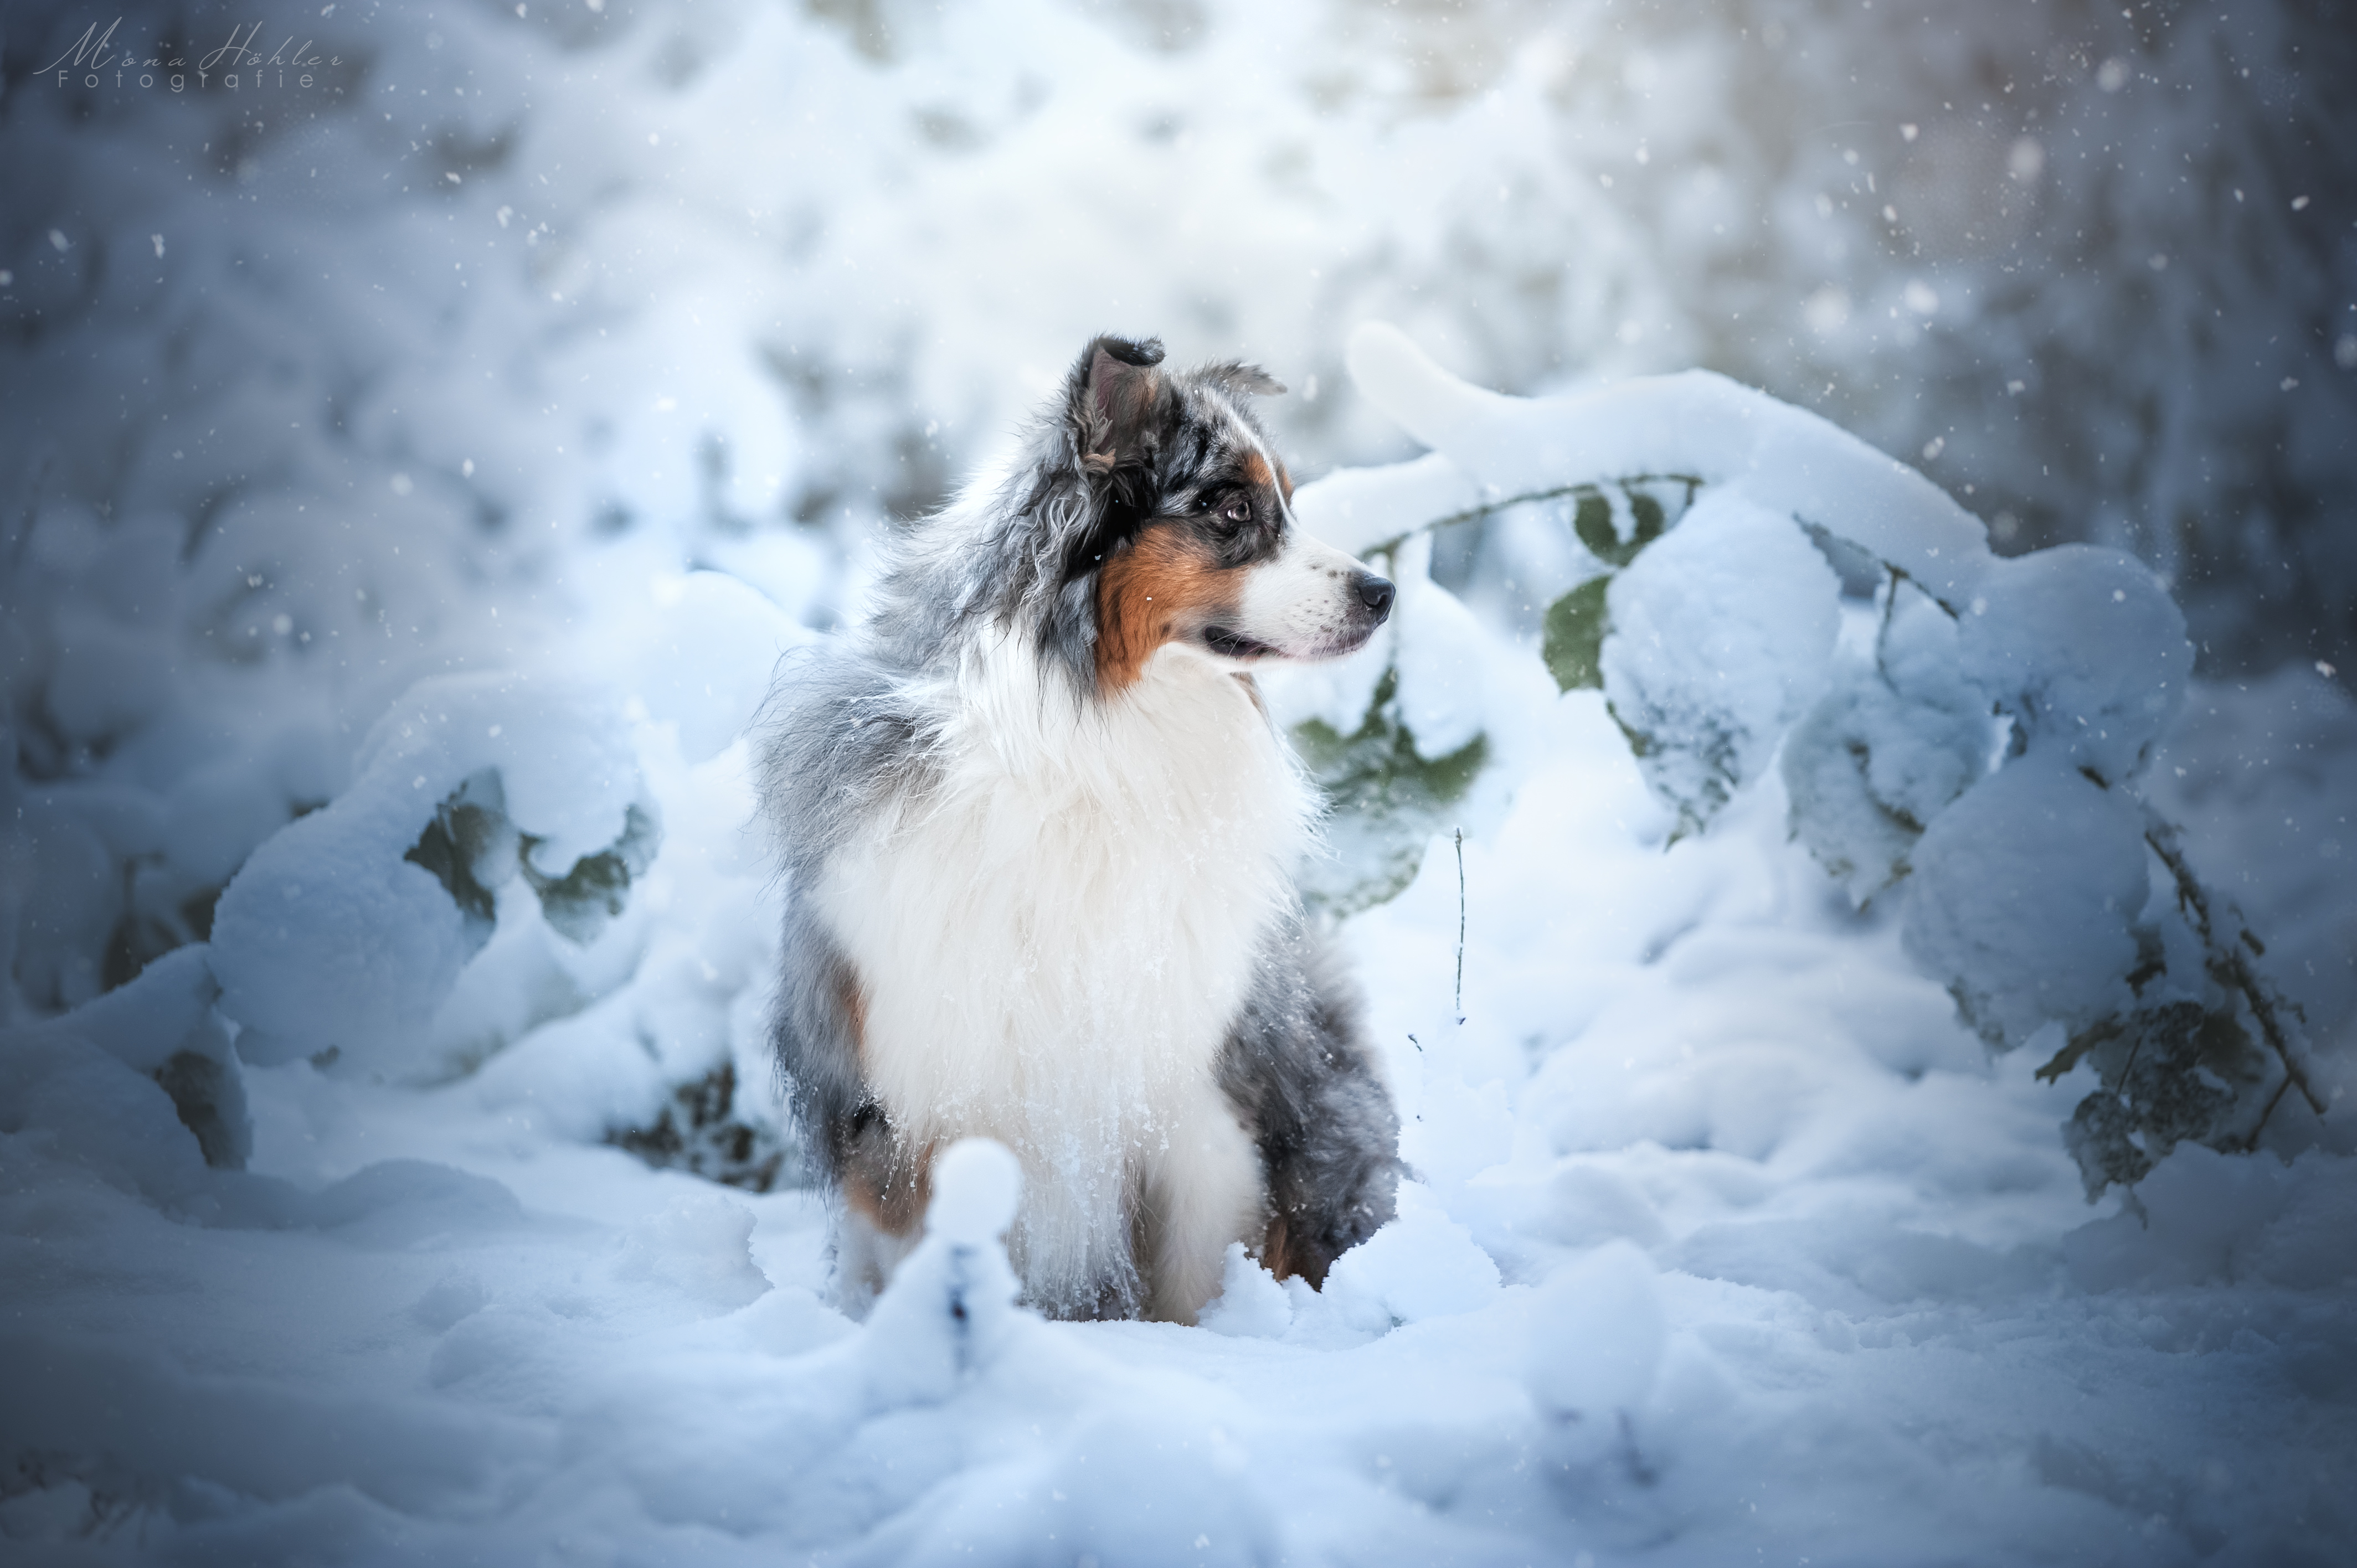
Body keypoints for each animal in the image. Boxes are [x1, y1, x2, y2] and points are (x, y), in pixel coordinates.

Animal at [768, 332, 1395, 1320]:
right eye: (1231, 508)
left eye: (1288, 500)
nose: (1384, 592)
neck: (1094, 744)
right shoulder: (914, 1106)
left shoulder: (1193, 1101)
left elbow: (1192, 1283)